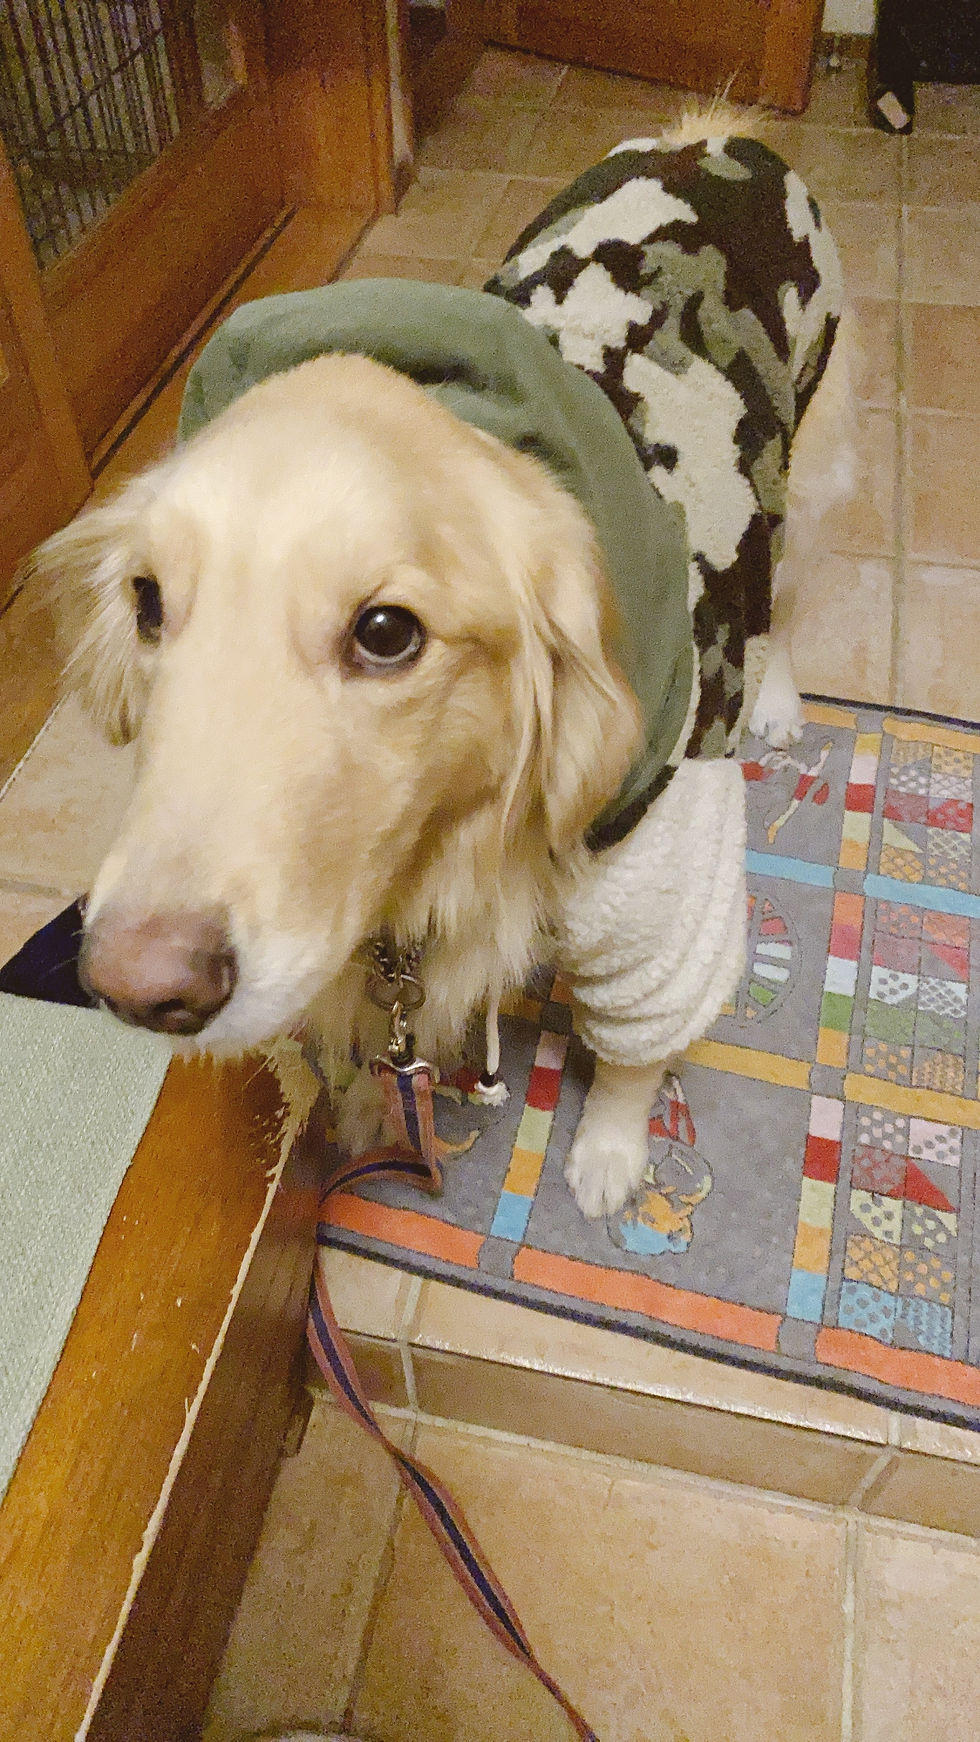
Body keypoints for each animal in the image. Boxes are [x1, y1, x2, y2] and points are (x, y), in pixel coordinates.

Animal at [30, 114, 855, 1219]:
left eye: (387, 632)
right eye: (148, 603)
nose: (134, 986)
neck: (446, 845)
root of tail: (717, 137)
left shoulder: (658, 884)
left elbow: (635, 1048)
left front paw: (608, 1151)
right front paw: (362, 1120)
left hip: (806, 467)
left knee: (786, 599)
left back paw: (773, 697)